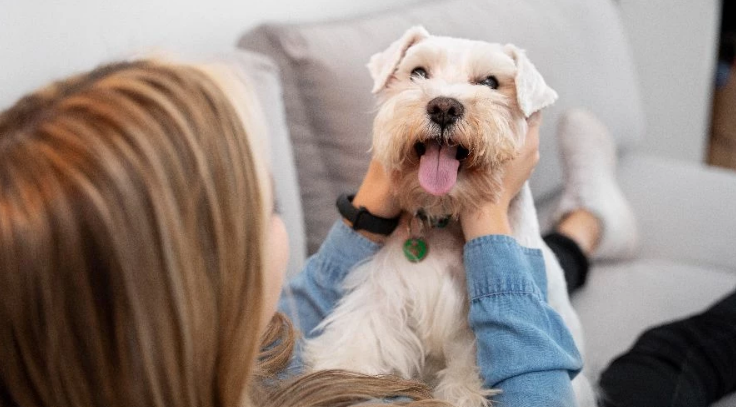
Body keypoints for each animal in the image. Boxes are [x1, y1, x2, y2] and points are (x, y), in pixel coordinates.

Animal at [302, 27, 596, 406]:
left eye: (490, 82)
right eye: (418, 72)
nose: (443, 106)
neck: (443, 215)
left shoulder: (469, 337)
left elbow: (465, 383)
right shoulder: (383, 295)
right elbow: (355, 345)